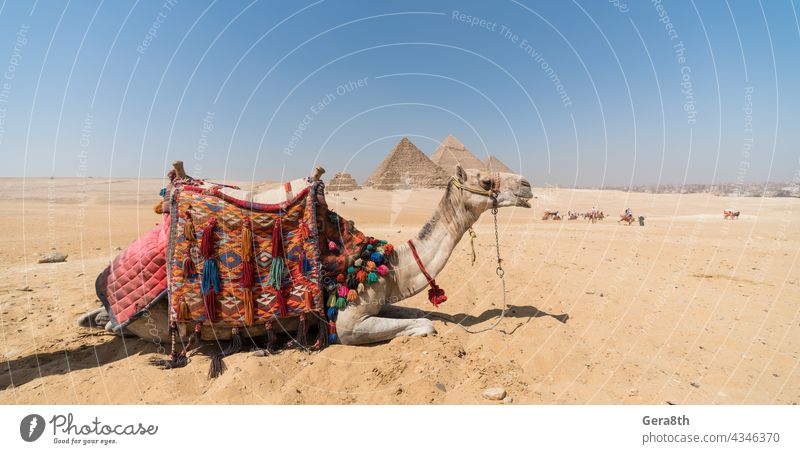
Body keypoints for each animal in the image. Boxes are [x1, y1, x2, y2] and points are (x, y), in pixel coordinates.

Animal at [79, 165, 532, 346]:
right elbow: (426, 325)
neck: (384, 265)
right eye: (485, 180)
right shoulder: (346, 323)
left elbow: (421, 314)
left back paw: (92, 318)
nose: (527, 185)